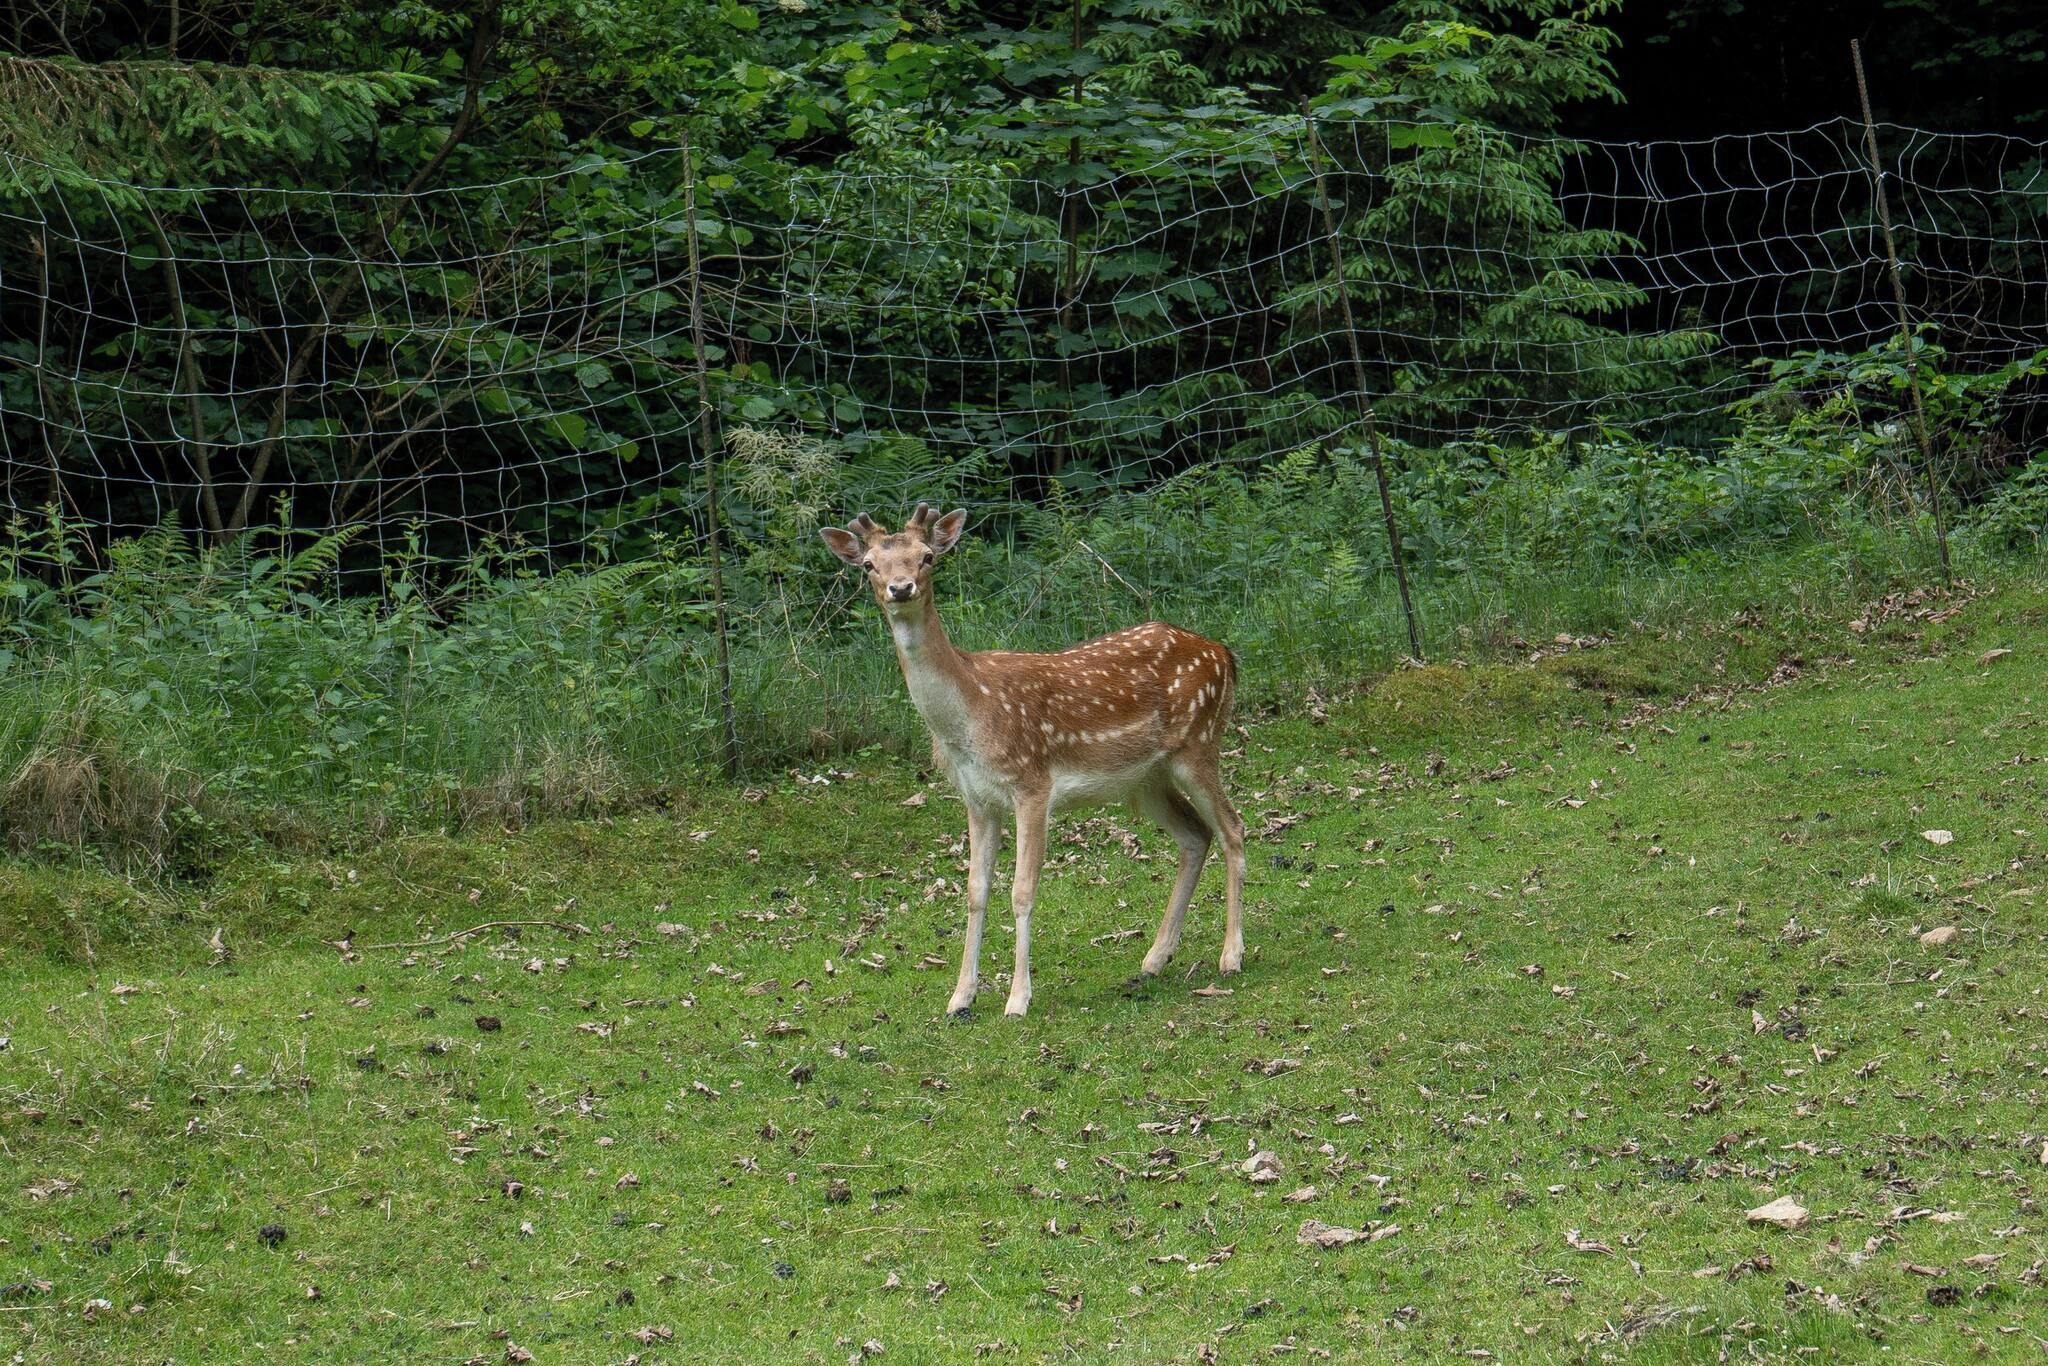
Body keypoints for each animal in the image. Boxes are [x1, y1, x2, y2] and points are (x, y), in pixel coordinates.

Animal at [822, 503, 1245, 1019]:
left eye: (927, 557)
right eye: (869, 566)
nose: (900, 588)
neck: (969, 718)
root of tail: (1224, 653)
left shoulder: (1032, 783)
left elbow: (1022, 891)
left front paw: (1018, 999)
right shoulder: (977, 799)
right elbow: (975, 891)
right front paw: (960, 998)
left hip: (1199, 744)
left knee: (1232, 827)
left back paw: (1231, 955)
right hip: (1147, 778)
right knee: (1195, 835)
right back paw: (1154, 959)